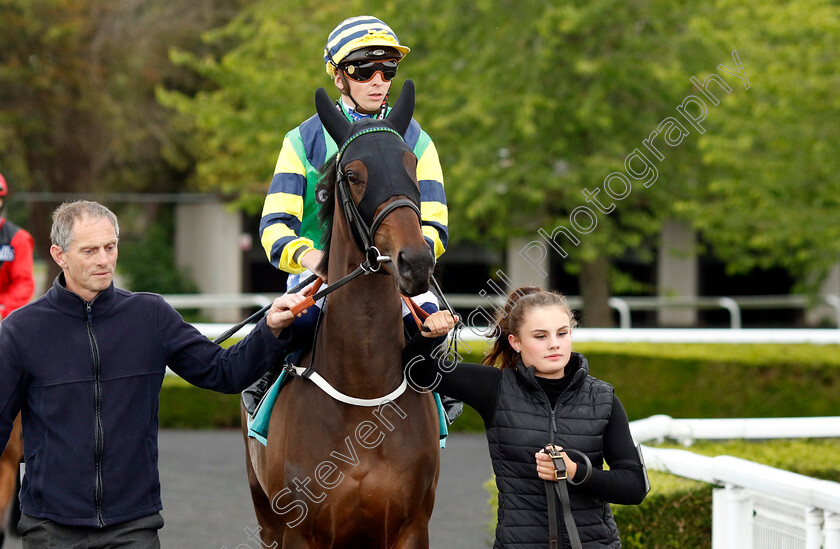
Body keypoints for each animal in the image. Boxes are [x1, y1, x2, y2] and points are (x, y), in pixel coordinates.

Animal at [241, 79, 440, 544]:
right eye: (353, 175)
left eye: (412, 163)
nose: (415, 262)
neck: (363, 395)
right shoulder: (299, 531)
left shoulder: (411, 528)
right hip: (265, 515)